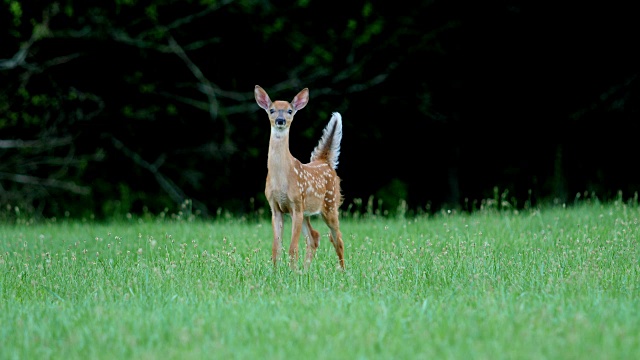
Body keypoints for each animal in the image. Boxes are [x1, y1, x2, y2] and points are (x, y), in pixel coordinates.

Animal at [255, 86, 344, 268]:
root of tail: (325, 162)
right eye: (272, 110)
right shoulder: (275, 207)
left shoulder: (296, 204)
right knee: (314, 237)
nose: (280, 120)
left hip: (330, 205)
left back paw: (343, 270)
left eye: (289, 111)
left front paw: (291, 271)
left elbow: (292, 247)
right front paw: (276, 270)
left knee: (337, 238)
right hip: (306, 211)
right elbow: (276, 247)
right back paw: (305, 270)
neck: (281, 178)